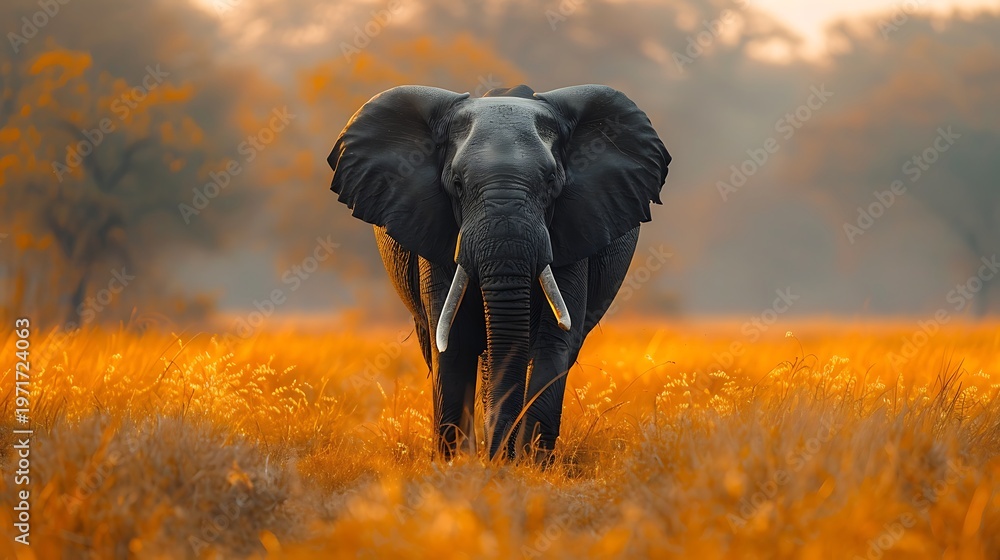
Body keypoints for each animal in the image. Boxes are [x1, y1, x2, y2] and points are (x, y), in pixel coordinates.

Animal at [327, 84, 670, 461]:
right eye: (457, 184)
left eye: (551, 181)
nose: (496, 457)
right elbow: (454, 339)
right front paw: (455, 464)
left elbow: (553, 341)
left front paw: (531, 465)